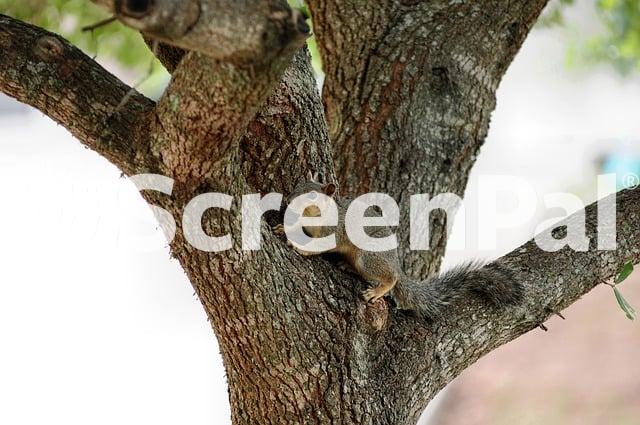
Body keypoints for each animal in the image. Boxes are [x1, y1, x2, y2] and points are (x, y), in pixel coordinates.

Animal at [274, 172, 524, 320]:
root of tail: (396, 263)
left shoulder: (332, 232)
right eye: (298, 184)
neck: (315, 216)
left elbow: (316, 246)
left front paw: (300, 247)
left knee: (391, 278)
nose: (288, 199)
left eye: (312, 195)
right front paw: (283, 228)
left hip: (369, 257)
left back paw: (378, 289)